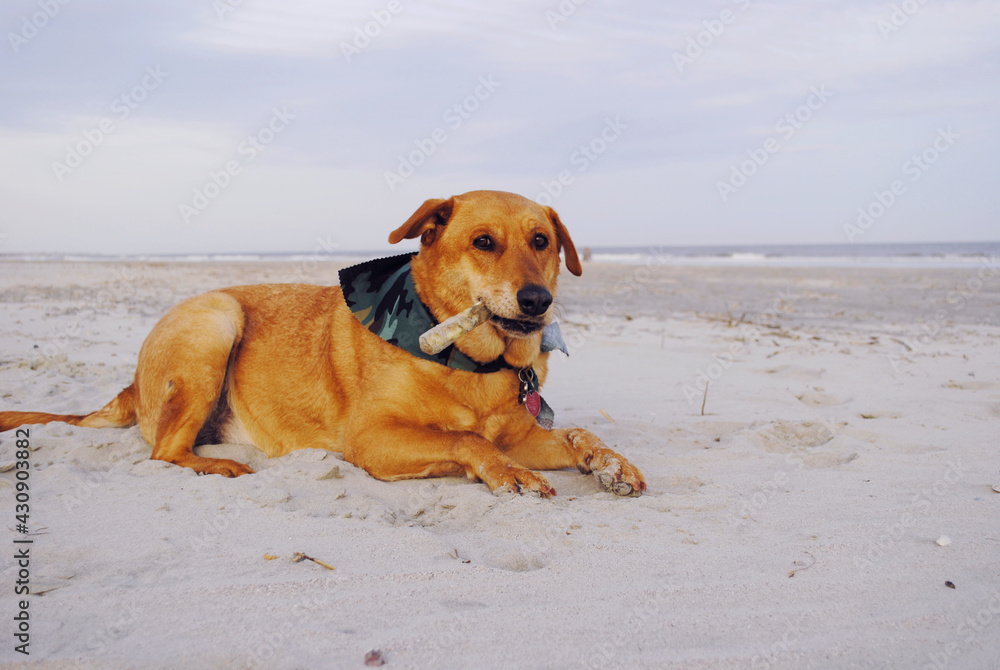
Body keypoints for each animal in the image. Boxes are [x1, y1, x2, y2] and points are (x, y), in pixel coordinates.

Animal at [0, 192, 648, 496]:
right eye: (484, 242)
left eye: (542, 241)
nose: (538, 301)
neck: (472, 364)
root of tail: (131, 386)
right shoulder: (373, 438)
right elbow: (467, 439)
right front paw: (505, 472)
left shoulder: (522, 433)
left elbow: (575, 435)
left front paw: (611, 462)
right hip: (215, 320)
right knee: (163, 452)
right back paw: (220, 466)